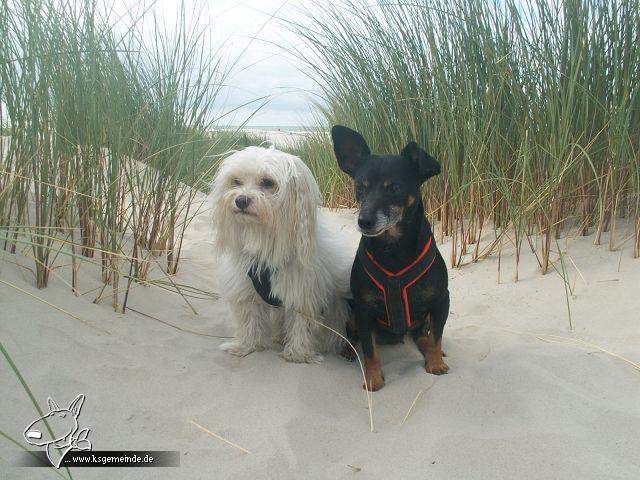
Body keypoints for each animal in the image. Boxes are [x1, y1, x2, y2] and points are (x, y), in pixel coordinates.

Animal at [211, 144, 352, 362]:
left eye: (268, 182)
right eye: (236, 181)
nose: (241, 200)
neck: (266, 240)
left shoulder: (302, 292)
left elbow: (301, 322)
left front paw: (297, 354)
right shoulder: (246, 287)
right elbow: (249, 318)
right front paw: (246, 345)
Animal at [330, 124, 450, 390]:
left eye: (395, 188)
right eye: (360, 188)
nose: (364, 221)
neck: (393, 248)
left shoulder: (441, 301)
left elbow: (437, 336)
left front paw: (435, 363)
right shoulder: (364, 310)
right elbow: (369, 350)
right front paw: (373, 379)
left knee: (422, 336)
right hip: (352, 309)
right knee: (355, 337)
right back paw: (348, 349)